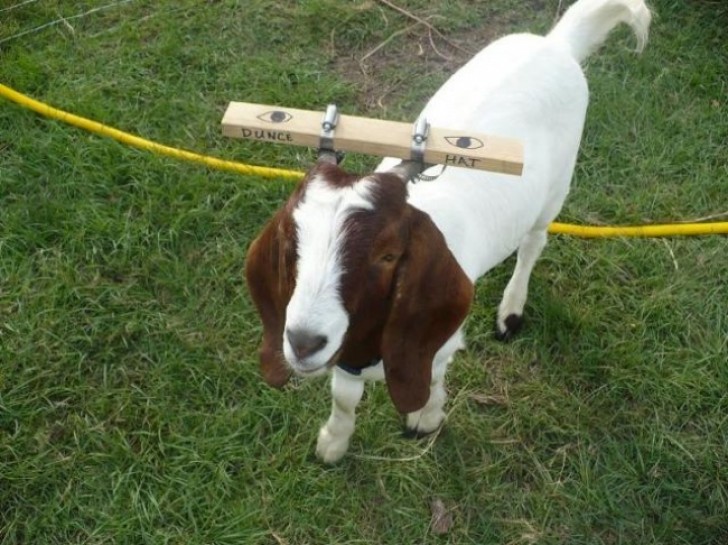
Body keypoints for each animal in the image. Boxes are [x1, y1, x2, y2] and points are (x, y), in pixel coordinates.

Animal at [243, 0, 648, 464]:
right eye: (293, 241)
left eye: (388, 254)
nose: (304, 341)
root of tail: (557, 44)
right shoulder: (347, 350)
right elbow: (344, 396)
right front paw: (333, 443)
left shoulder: (435, 342)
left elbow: (432, 381)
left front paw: (425, 419)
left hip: (555, 190)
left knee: (533, 244)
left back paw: (511, 311)